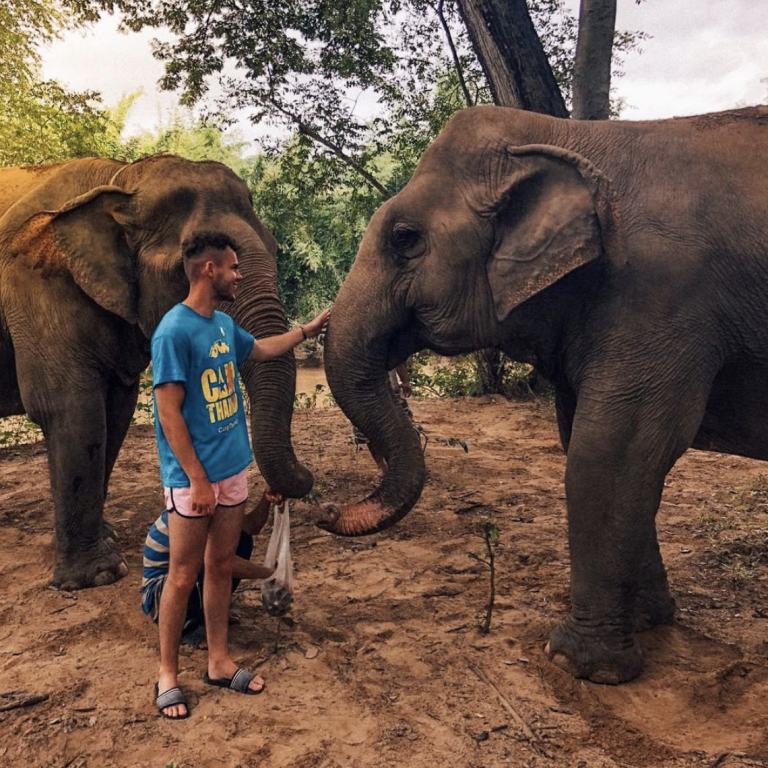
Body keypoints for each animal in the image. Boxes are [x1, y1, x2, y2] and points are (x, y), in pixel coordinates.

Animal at [0, 155, 313, 590]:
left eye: (273, 247)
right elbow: (71, 409)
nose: (302, 481)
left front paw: (108, 538)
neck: (120, 177)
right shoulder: (35, 285)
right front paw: (98, 576)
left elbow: (115, 409)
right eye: (190, 265)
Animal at [321, 105, 768, 684]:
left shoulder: (663, 301)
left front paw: (580, 665)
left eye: (404, 238)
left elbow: (608, 453)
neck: (562, 134)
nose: (325, 509)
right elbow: (596, 443)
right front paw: (648, 621)